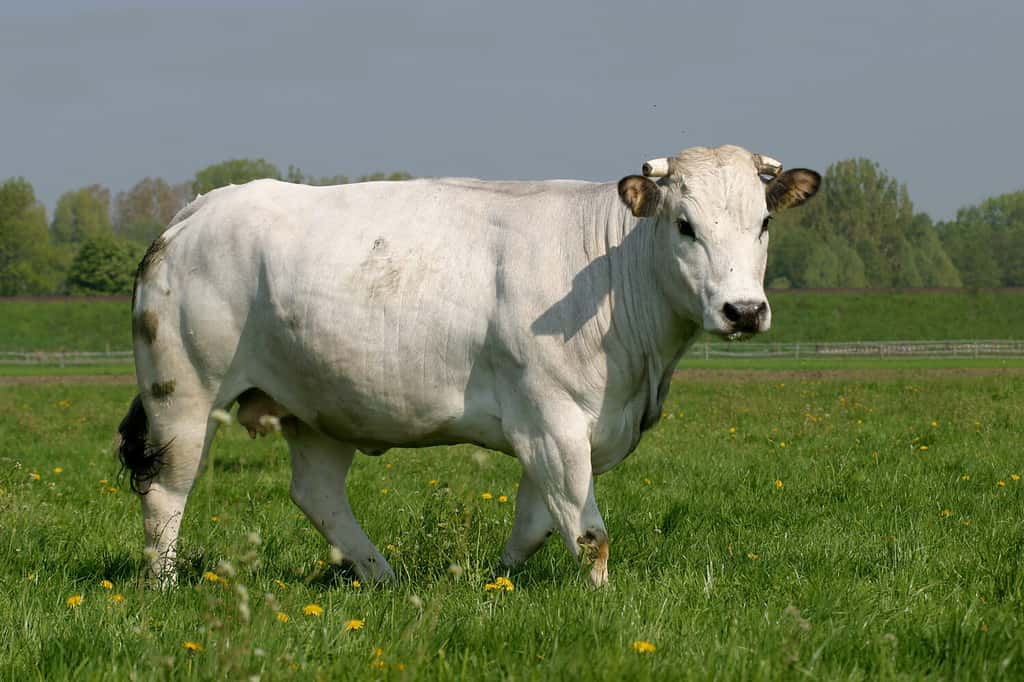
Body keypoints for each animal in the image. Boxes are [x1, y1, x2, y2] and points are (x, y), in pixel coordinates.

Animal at [119, 143, 819, 585]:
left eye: (762, 222)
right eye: (684, 225)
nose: (743, 310)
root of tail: (200, 207)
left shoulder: (556, 430)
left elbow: (538, 522)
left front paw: (496, 581)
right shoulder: (552, 419)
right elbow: (587, 530)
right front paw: (603, 599)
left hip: (319, 405)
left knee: (317, 494)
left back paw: (383, 577)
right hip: (181, 392)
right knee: (166, 493)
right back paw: (164, 587)